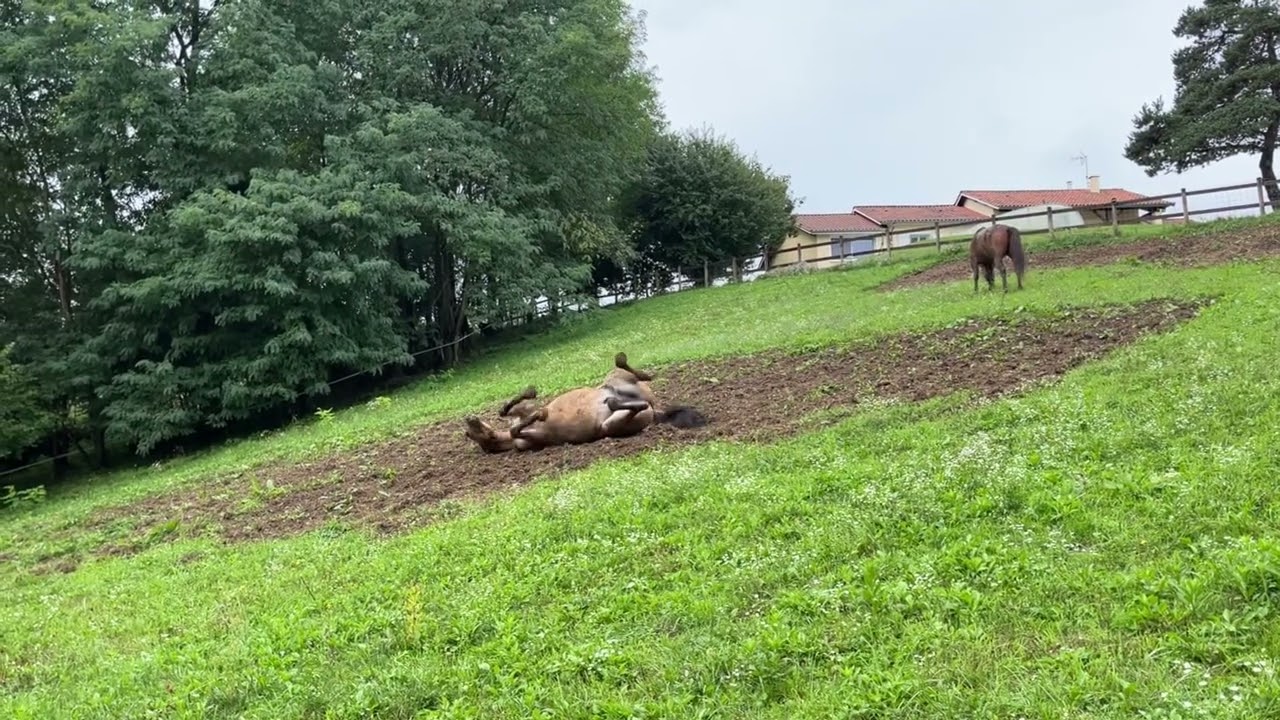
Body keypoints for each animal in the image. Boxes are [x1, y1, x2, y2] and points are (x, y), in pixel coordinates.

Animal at [463, 352, 707, 453]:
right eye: (471, 434)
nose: (468, 418)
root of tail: (656, 409)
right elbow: (515, 427)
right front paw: (539, 414)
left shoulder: (523, 411)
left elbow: (507, 409)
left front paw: (534, 400)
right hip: (611, 424)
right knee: (633, 404)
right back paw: (614, 401)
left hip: (616, 379)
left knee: (642, 374)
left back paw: (621, 362)